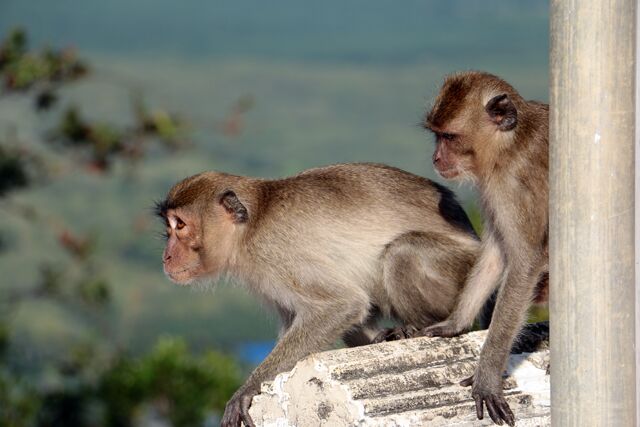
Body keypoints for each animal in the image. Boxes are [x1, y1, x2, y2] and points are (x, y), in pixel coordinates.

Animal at [158, 162, 482, 426]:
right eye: (169, 228)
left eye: (180, 226)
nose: (166, 256)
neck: (252, 223)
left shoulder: (273, 250)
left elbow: (343, 305)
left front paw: (248, 388)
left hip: (460, 271)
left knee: (402, 252)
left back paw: (417, 329)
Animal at [420, 72, 552, 426]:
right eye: (436, 136)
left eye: (449, 137)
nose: (436, 158)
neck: (510, 143)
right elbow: (496, 254)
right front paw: (454, 324)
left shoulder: (510, 183)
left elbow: (525, 261)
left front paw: (487, 378)